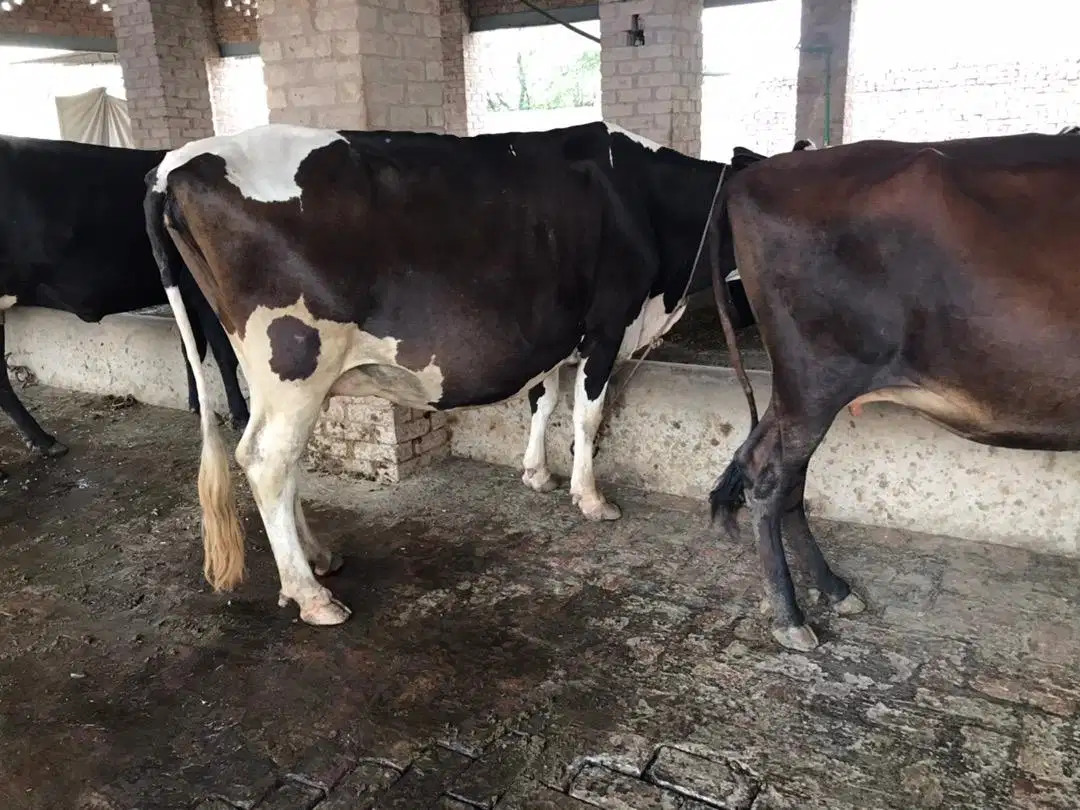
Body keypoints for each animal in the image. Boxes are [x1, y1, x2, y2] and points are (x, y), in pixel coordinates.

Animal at [0, 135, 250, 481]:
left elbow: (191, 346)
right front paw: (240, 414)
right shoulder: (201, 288)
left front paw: (195, 403)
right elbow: (224, 352)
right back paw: (44, 440)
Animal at [143, 120, 769, 624]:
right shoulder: (607, 325)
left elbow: (543, 399)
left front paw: (536, 473)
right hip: (295, 359)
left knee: (280, 458)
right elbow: (586, 417)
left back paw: (318, 559)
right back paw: (311, 596)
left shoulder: (553, 335)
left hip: (275, 372)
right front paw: (590, 498)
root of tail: (177, 162)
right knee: (268, 460)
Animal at [708, 131, 1080, 652]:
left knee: (775, 470)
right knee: (769, 476)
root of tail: (753, 173)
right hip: (815, 379)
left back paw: (833, 588)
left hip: (802, 391)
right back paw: (789, 615)